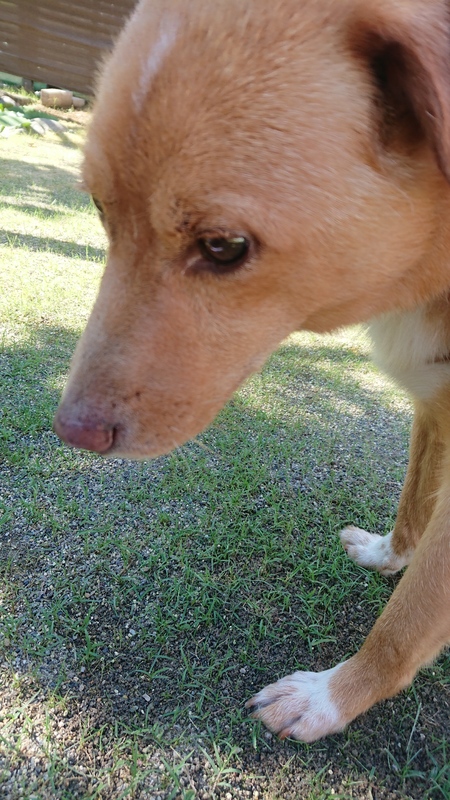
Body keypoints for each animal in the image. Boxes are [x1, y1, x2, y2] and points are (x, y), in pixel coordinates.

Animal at [53, 0, 450, 742]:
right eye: (98, 210)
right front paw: (388, 556)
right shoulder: (435, 408)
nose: (71, 433)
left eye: (224, 246)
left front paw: (329, 698)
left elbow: (406, 623)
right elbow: (414, 506)